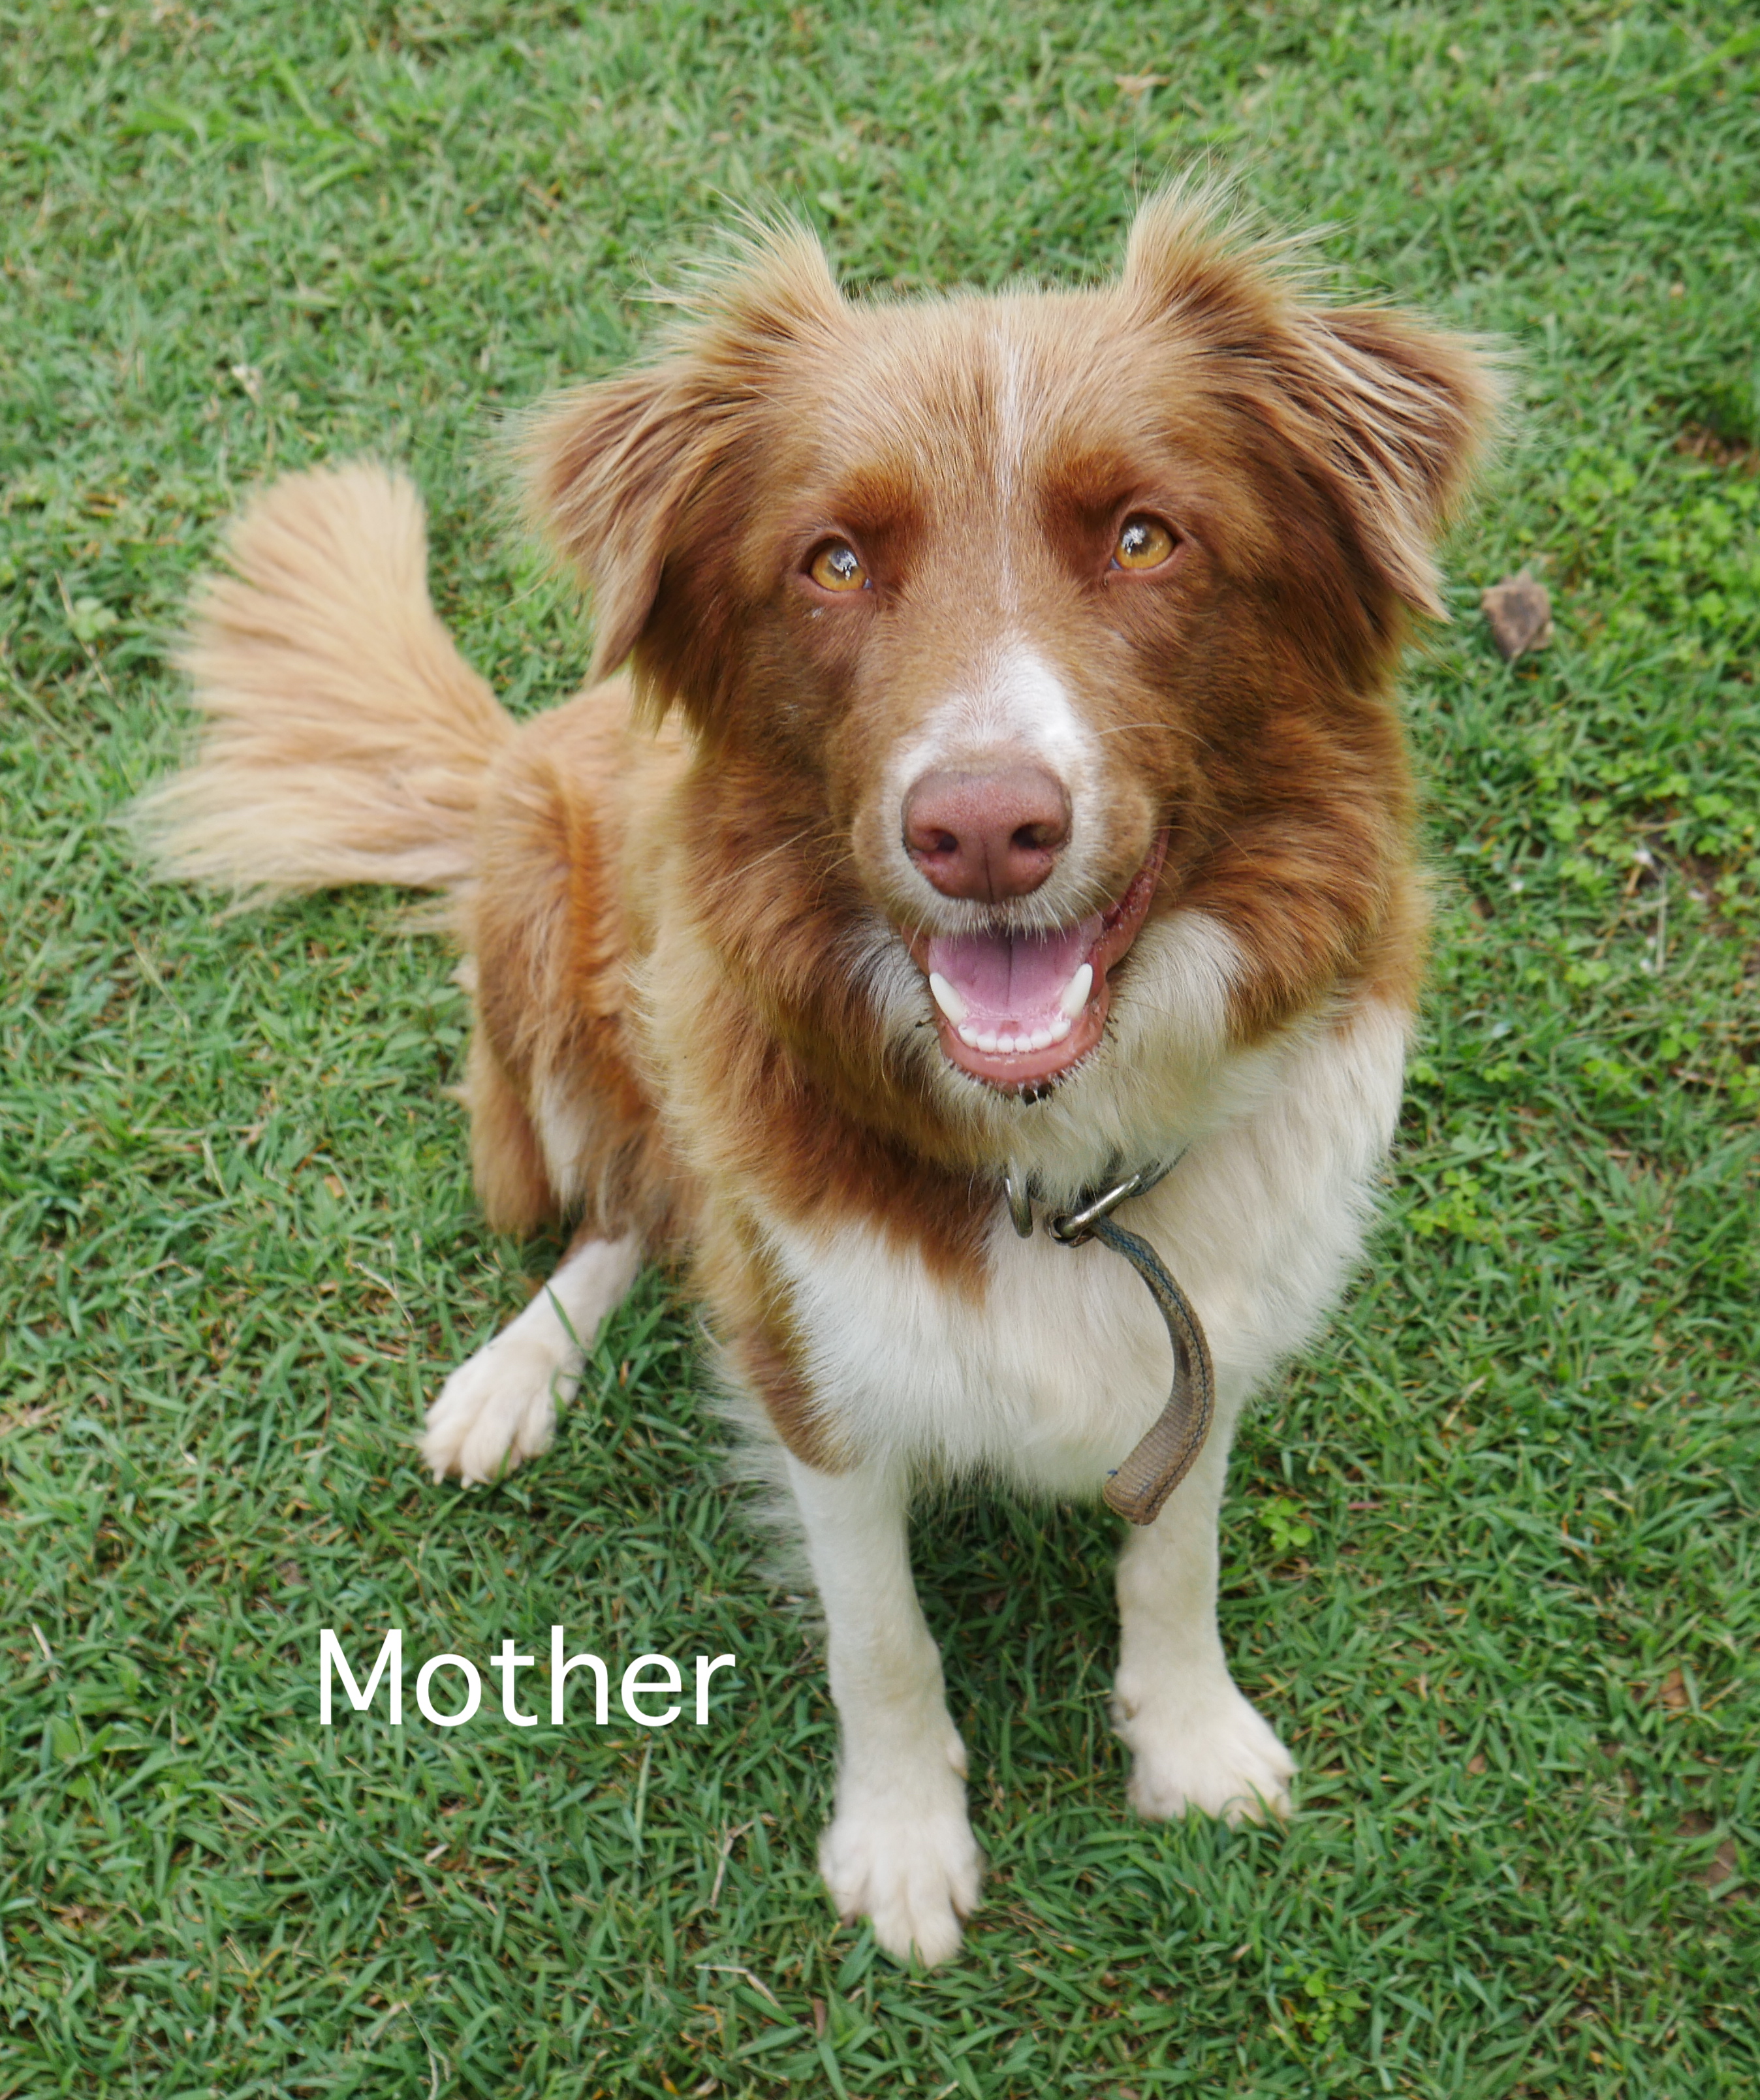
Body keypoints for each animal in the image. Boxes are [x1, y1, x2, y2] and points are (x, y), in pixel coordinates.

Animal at [137, 188, 1492, 1965]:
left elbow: (1174, 1555)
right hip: (547, 960)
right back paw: (510, 1376)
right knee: (625, 1212)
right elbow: (883, 1637)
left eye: (1145, 538)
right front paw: (904, 1845)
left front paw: (1189, 1737)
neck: (1059, 1167)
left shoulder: (1209, 1323)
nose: (982, 828)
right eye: (833, 563)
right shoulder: (815, 1379)